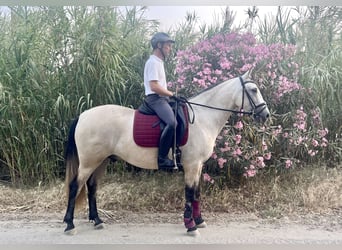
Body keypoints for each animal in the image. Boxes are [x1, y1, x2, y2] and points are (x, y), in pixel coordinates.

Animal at [61, 71, 270, 236]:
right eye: (253, 90)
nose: (266, 114)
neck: (202, 118)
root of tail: (83, 115)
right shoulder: (192, 165)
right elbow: (189, 193)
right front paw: (190, 226)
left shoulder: (198, 166)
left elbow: (197, 193)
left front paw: (199, 221)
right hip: (89, 162)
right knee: (75, 186)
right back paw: (70, 225)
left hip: (101, 161)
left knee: (92, 187)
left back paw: (97, 220)